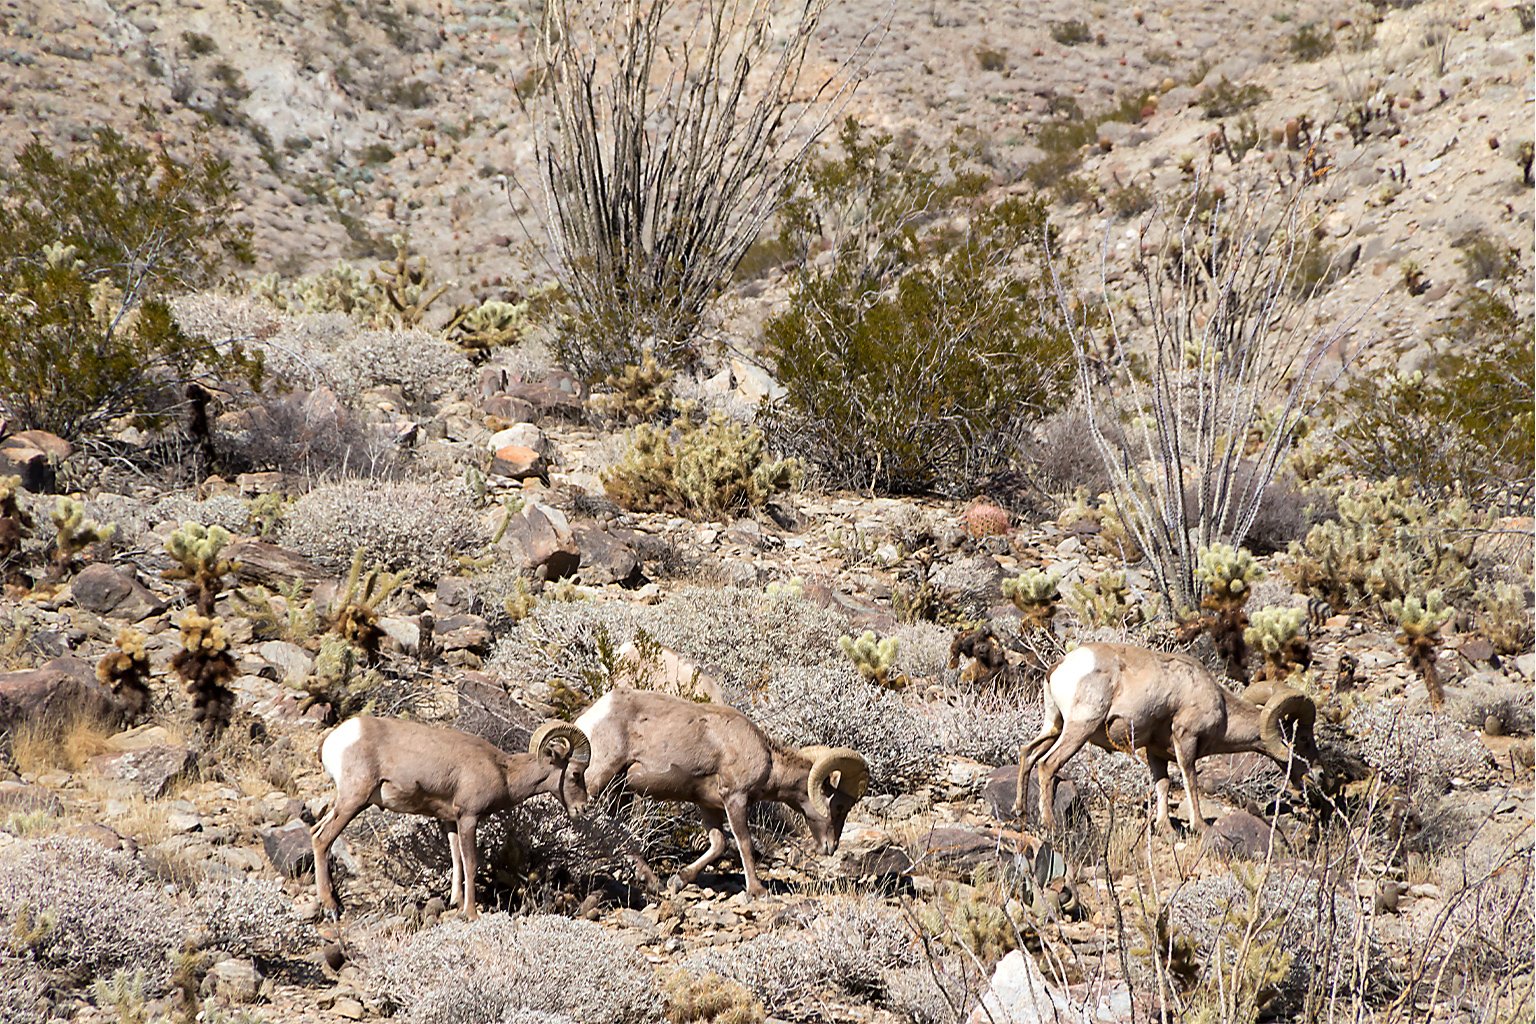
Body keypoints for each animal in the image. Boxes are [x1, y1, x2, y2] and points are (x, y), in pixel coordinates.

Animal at [312, 715, 591, 919]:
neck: (503, 773)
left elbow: (455, 860)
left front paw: (456, 902)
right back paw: (331, 908)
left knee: (316, 831)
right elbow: (470, 863)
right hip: (354, 800)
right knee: (322, 840)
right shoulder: (468, 818)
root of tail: (335, 741)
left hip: (344, 803)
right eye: (576, 774)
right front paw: (471, 913)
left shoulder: (450, 821)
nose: (583, 808)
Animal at [575, 689, 869, 897]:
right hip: (599, 776)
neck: (768, 759)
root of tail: (589, 717)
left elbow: (719, 844)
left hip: (619, 789)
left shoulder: (709, 805)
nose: (830, 847)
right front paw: (757, 891)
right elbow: (744, 843)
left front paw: (679, 880)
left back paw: (654, 882)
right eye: (839, 806)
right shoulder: (735, 798)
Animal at [1014, 642, 1319, 833]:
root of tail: (1059, 667)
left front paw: (1165, 827)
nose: (1314, 774)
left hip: (1054, 726)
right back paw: (1049, 824)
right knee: (1047, 764)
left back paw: (1021, 813)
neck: (1220, 707)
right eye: (1303, 740)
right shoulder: (1186, 740)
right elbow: (1189, 779)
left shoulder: (1156, 753)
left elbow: (1162, 784)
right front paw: (1199, 825)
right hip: (1079, 728)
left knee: (1027, 753)